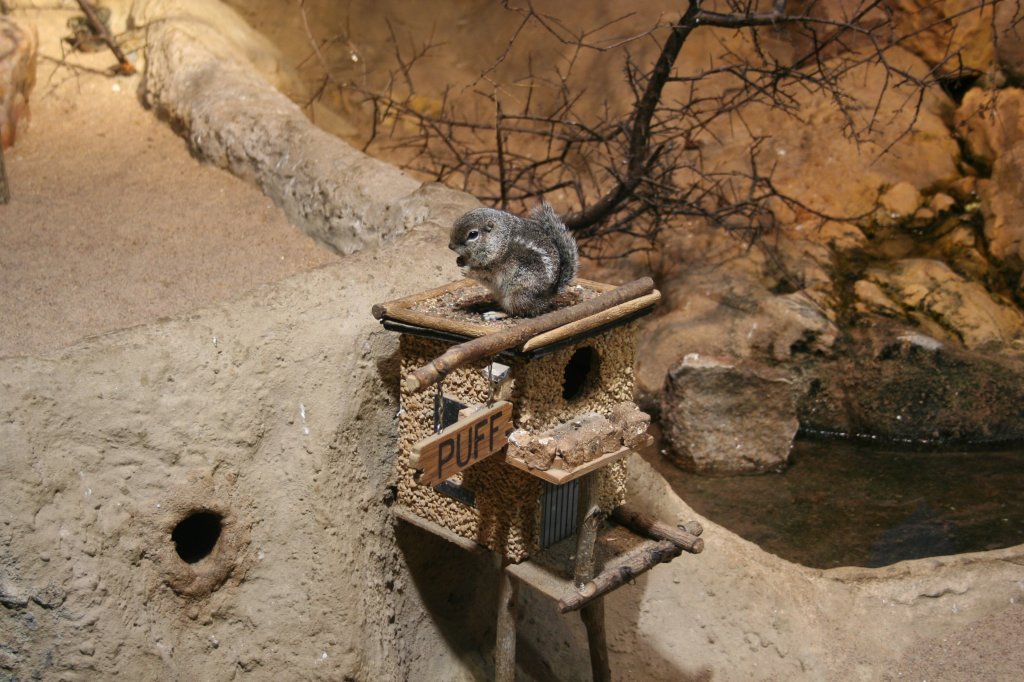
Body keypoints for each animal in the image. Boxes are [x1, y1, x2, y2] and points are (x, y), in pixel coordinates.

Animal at [446, 202, 577, 317]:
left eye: (473, 234)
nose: (450, 246)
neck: (501, 240)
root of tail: (550, 295)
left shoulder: (496, 267)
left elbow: (482, 273)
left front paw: (467, 270)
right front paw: (460, 260)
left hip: (517, 293)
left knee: (514, 311)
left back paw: (495, 314)